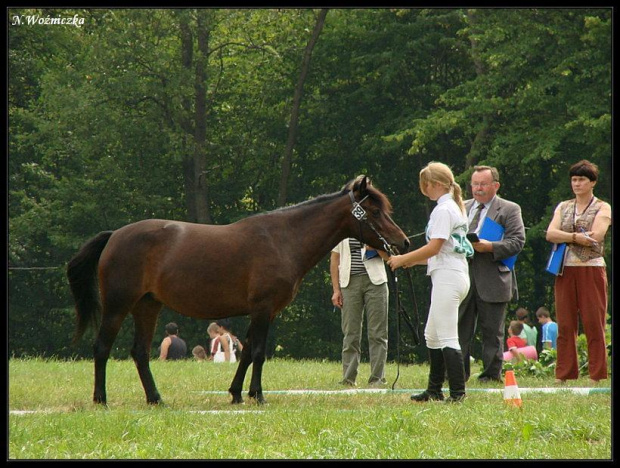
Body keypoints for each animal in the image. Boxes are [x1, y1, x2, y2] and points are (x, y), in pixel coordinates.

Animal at [68, 177, 410, 404]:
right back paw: (101, 399)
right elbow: (257, 352)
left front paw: (236, 393)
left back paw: (156, 399)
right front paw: (257, 395)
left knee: (139, 352)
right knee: (101, 348)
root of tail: (115, 236)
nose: (403, 242)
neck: (283, 239)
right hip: (118, 306)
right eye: (375, 212)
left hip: (147, 306)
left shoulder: (265, 312)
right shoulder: (262, 308)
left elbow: (246, 352)